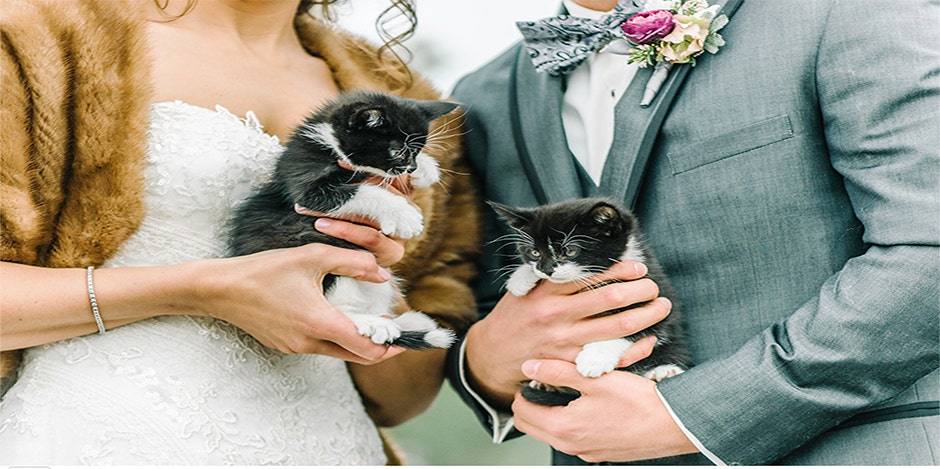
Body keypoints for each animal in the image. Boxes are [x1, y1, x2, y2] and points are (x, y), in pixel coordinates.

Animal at [229, 90, 460, 348]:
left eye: (417, 151)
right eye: (397, 151)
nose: (410, 168)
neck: (330, 142)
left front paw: (427, 169)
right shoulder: (306, 183)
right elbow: (363, 191)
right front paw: (405, 215)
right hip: (330, 262)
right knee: (335, 310)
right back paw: (375, 324)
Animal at [492, 197, 692, 406]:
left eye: (570, 251)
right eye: (534, 253)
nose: (546, 270)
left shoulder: (657, 293)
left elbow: (634, 326)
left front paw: (594, 359)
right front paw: (520, 279)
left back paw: (663, 371)